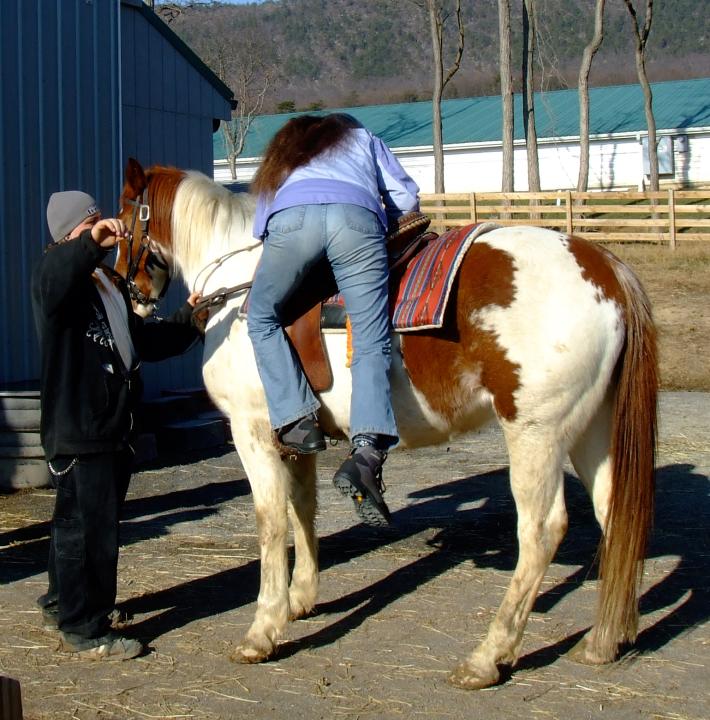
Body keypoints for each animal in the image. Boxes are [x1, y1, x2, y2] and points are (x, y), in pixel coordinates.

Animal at [115, 159, 656, 692]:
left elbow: (271, 523)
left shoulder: (252, 432)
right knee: (614, 513)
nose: (129, 291)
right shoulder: (297, 437)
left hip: (536, 433)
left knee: (541, 531)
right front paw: (301, 598)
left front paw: (262, 629)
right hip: (589, 431)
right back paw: (602, 641)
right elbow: (302, 510)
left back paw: (488, 657)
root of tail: (605, 268)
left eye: (121, 224)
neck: (239, 290)